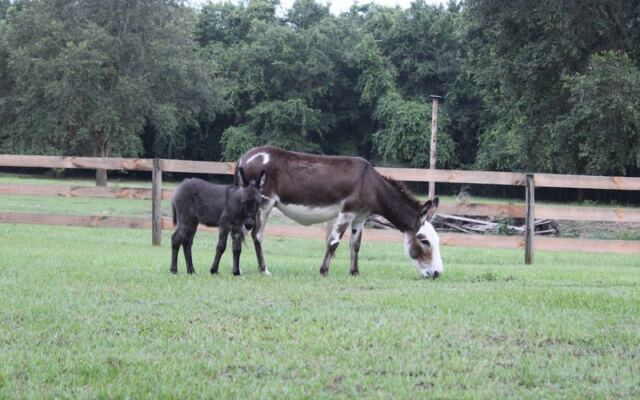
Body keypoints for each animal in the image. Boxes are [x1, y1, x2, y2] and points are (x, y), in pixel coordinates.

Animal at [235, 146, 443, 278]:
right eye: (425, 241)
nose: (437, 274)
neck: (371, 184)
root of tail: (244, 157)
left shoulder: (360, 217)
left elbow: (355, 245)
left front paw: (354, 273)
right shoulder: (347, 213)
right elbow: (334, 241)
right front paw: (324, 271)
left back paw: (237, 269)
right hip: (264, 204)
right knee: (256, 234)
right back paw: (263, 270)